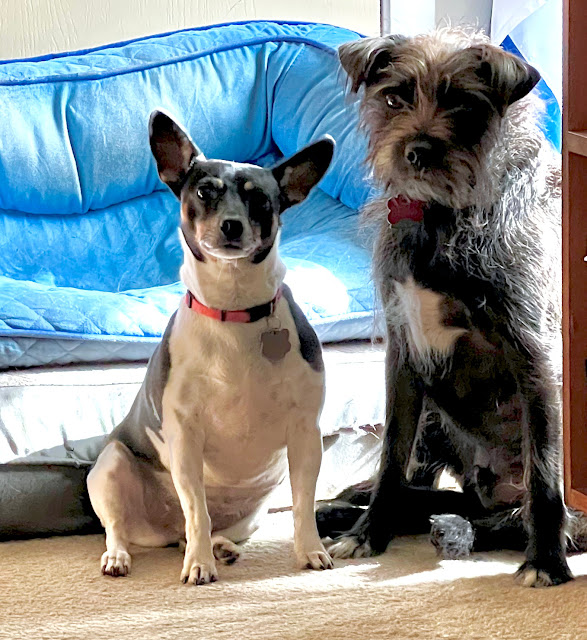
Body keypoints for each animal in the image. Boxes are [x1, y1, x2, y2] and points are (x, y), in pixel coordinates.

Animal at [87, 111, 335, 584]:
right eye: (204, 191)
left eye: (261, 201)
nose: (232, 225)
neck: (233, 308)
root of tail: (165, 531)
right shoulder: (185, 439)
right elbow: (196, 512)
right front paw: (199, 567)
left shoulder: (305, 434)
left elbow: (304, 505)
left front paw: (311, 551)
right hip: (110, 469)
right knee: (129, 527)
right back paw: (124, 557)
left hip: (254, 511)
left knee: (205, 527)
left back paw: (221, 548)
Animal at [319, 27, 574, 587]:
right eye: (395, 97)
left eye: (464, 105)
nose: (416, 151)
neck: (441, 214)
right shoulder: (404, 357)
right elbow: (391, 459)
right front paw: (370, 533)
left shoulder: (535, 356)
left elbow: (546, 475)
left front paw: (545, 562)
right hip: (437, 422)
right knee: (428, 492)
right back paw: (342, 511)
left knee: (511, 516)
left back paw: (461, 531)